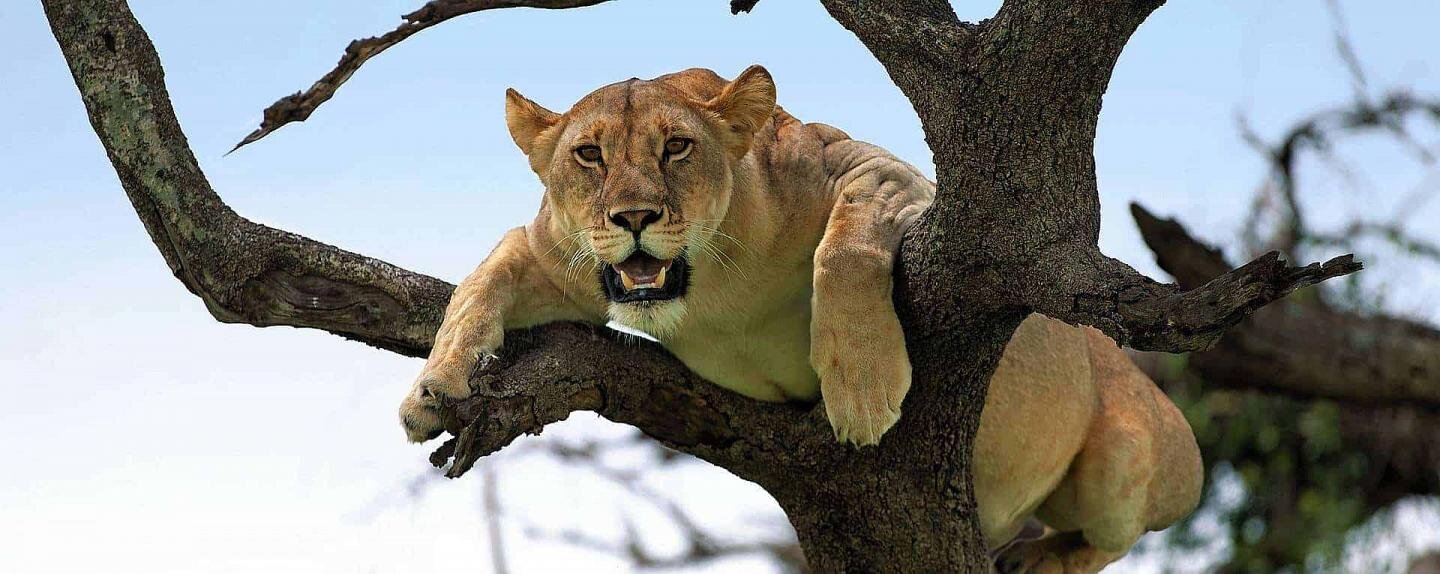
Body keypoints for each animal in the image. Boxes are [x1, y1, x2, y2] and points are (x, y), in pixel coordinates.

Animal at [399, 65, 1202, 571]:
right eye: (589, 154)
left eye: (677, 146)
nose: (633, 217)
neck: (712, 284)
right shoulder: (551, 252)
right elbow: (481, 281)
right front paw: (431, 393)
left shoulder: (884, 175)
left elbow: (843, 247)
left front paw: (862, 391)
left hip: (1130, 450)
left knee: (1115, 534)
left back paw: (1041, 560)